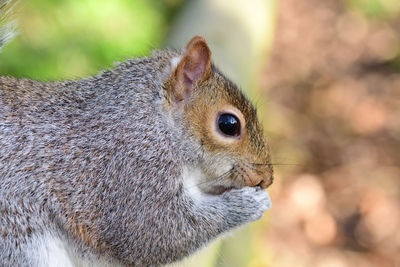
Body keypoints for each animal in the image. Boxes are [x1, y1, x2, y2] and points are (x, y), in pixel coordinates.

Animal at [0, 1, 272, 266]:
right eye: (229, 124)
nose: (266, 179)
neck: (155, 121)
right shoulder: (131, 167)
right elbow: (151, 230)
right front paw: (249, 204)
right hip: (18, 239)